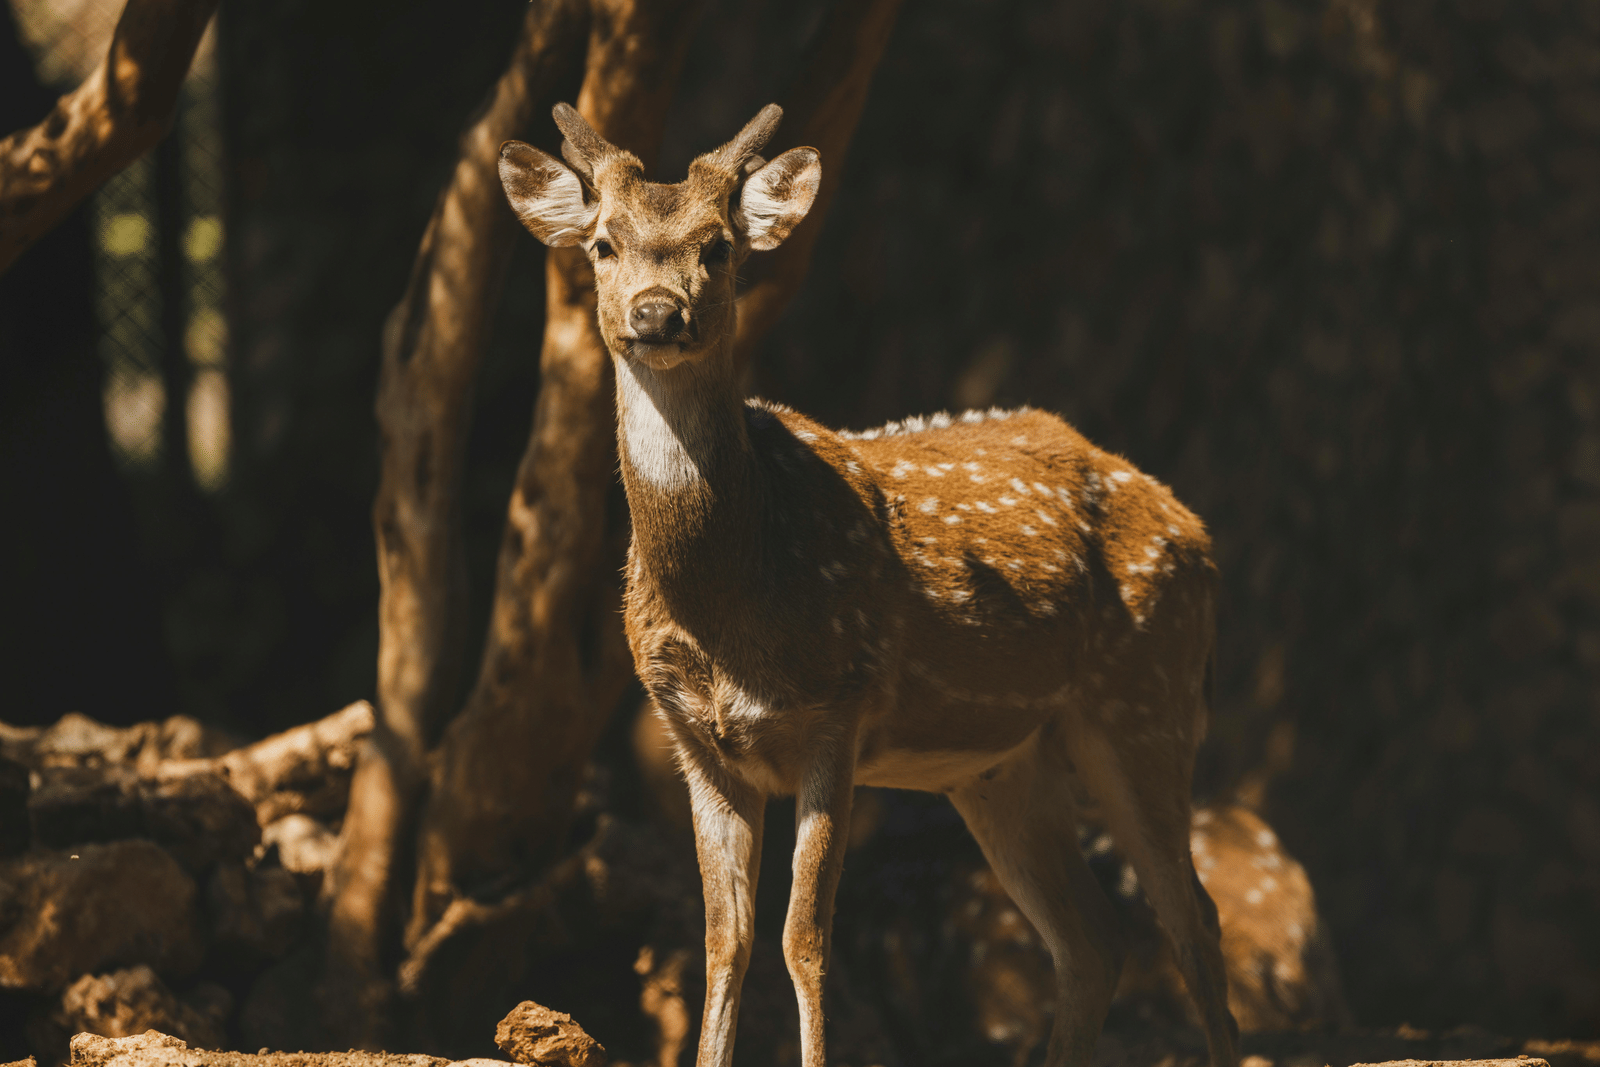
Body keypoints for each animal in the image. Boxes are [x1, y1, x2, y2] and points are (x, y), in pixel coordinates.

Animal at [498, 102, 1240, 1067]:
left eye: (718, 246)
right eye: (600, 244)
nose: (657, 313)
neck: (730, 601)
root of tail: (1196, 530)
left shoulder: (837, 710)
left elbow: (804, 936)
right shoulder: (695, 738)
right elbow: (723, 939)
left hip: (1149, 696)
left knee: (1191, 920)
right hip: (1004, 761)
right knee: (1094, 939)